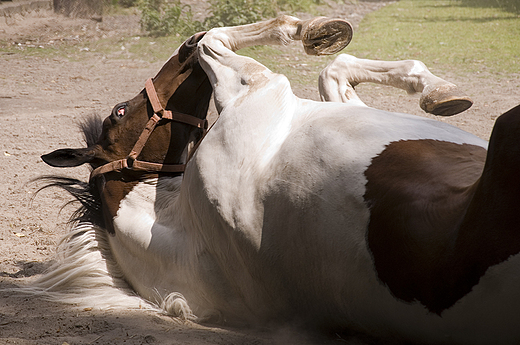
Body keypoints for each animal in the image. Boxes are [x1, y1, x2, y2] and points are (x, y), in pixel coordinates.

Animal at [33, 14, 520, 342]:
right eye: (120, 111)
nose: (183, 48)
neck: (188, 237)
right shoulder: (261, 93)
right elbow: (220, 42)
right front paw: (304, 27)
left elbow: (332, 68)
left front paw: (436, 91)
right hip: (507, 130)